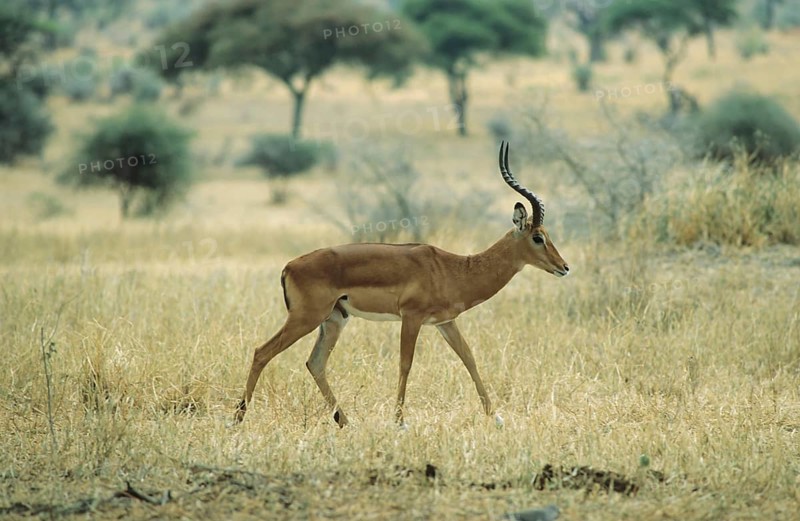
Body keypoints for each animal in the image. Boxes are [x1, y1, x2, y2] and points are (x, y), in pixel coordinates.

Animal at [234, 142, 569, 427]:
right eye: (537, 237)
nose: (564, 267)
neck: (454, 269)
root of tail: (289, 266)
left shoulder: (445, 322)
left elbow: (469, 359)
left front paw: (496, 418)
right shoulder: (411, 317)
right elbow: (405, 364)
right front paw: (399, 422)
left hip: (334, 320)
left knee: (315, 363)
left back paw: (344, 421)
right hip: (306, 318)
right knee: (261, 352)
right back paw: (237, 418)